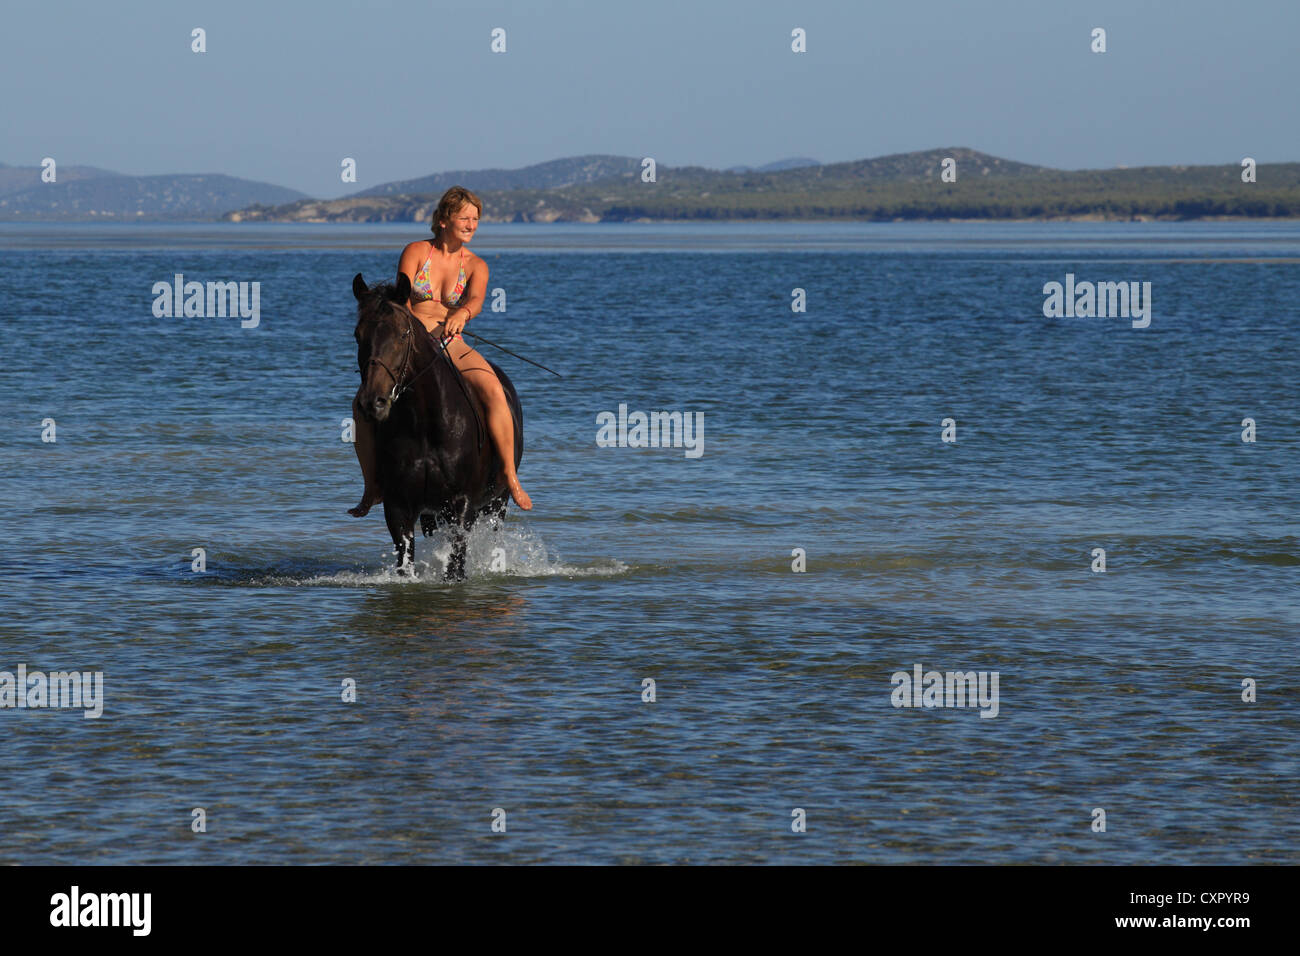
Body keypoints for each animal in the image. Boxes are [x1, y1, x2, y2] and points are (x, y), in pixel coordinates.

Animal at [351, 272, 523, 579]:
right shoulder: (398, 506)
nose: (373, 402)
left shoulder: (462, 505)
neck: (425, 424)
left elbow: (456, 565)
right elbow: (405, 561)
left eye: (402, 334)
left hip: (497, 503)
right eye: (358, 335)